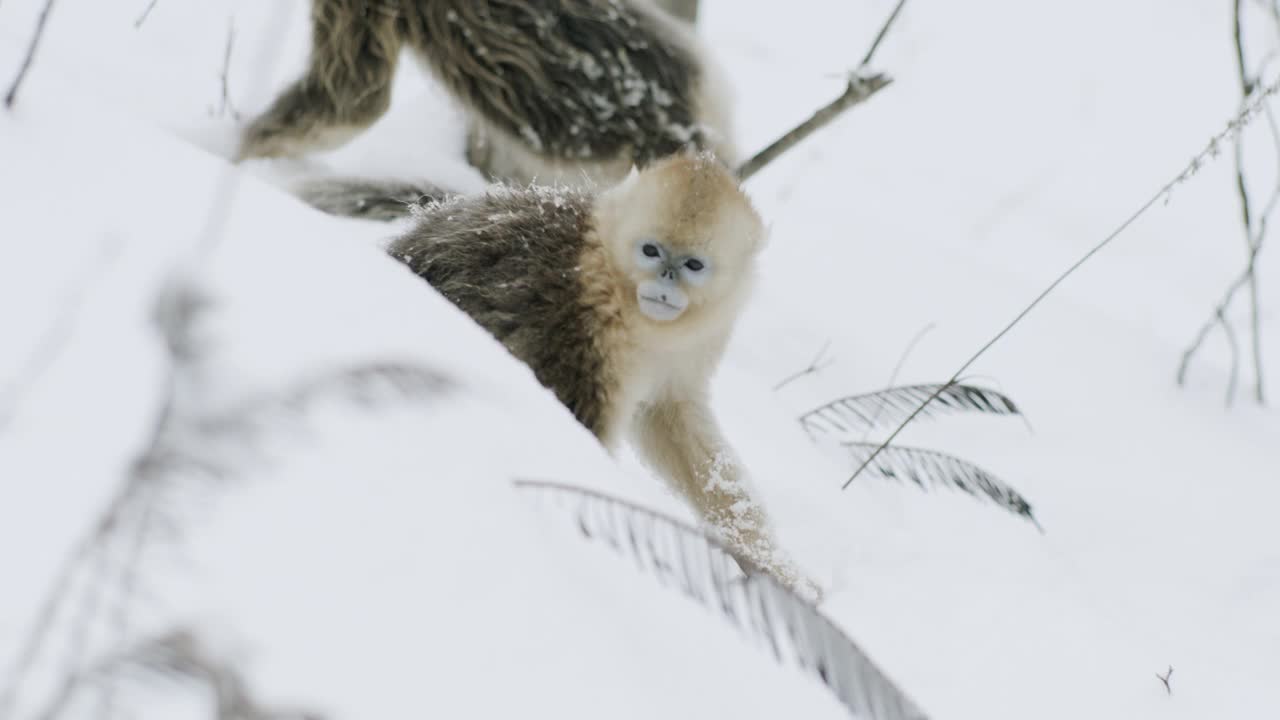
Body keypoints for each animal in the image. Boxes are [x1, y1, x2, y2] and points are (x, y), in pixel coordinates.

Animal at [384, 152, 814, 594]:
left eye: (693, 265)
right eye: (651, 251)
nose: (666, 281)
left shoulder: (694, 348)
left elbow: (671, 421)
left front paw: (775, 570)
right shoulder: (580, 329)